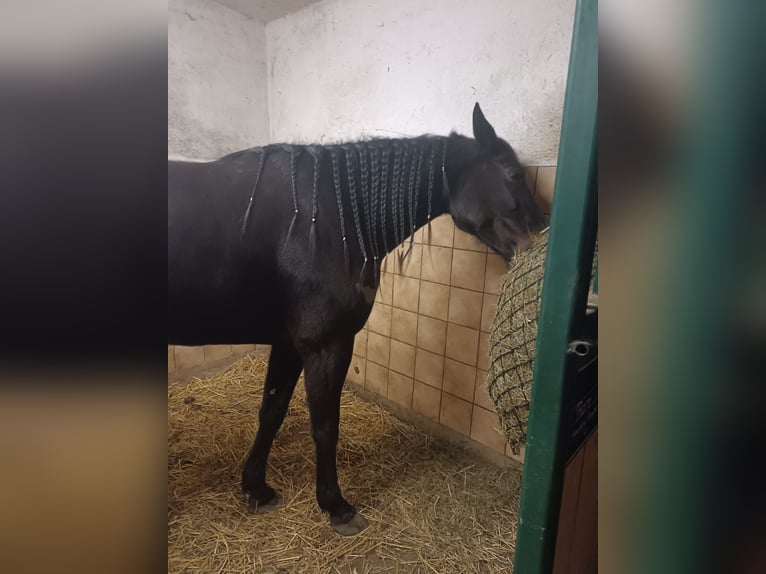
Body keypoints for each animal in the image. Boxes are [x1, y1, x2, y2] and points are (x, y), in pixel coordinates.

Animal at [168, 103, 546, 535]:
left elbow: (272, 411)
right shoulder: (326, 345)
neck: (325, 219)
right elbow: (325, 426)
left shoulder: (289, 342)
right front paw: (336, 506)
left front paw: (256, 488)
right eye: (513, 174)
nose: (541, 233)